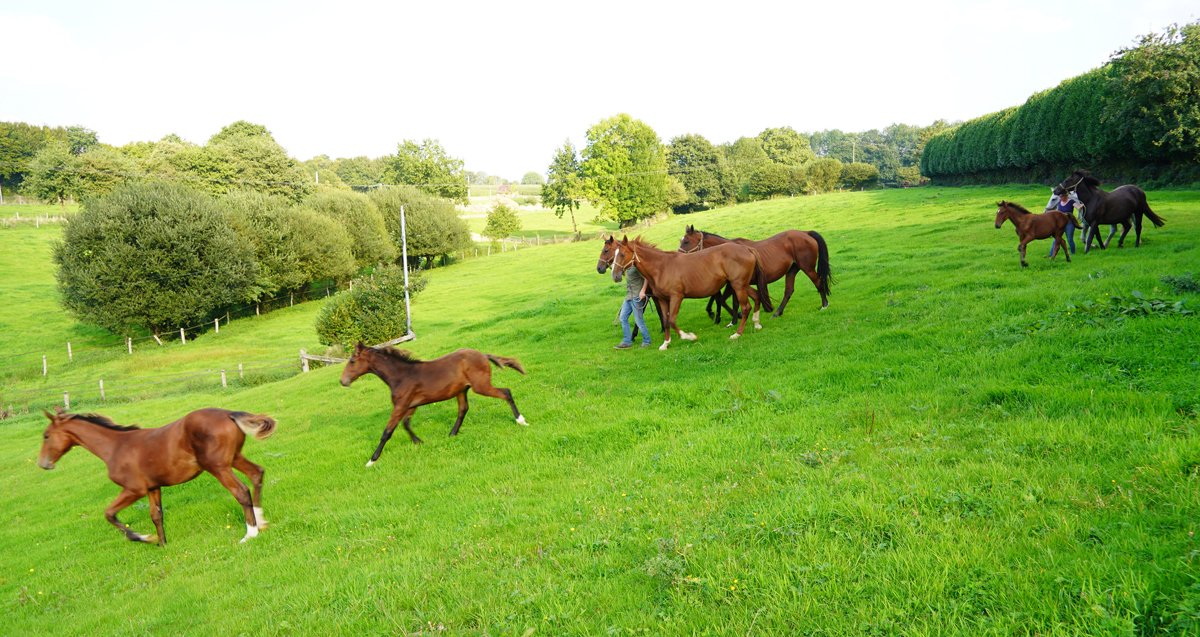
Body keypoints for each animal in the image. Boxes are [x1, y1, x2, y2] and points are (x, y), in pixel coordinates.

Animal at [37, 407, 276, 545]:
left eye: (46, 436)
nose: (43, 464)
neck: (114, 447)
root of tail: (228, 413)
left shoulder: (134, 489)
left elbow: (109, 514)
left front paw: (144, 537)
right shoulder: (153, 488)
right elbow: (156, 515)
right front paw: (163, 544)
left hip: (218, 466)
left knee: (241, 491)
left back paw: (250, 533)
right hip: (234, 458)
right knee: (257, 474)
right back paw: (261, 521)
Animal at [340, 343, 527, 466]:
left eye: (352, 361)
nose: (343, 381)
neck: (401, 376)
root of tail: (482, 354)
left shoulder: (400, 406)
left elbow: (387, 432)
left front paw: (371, 460)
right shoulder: (410, 405)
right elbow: (406, 424)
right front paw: (419, 442)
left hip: (480, 386)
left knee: (506, 392)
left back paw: (521, 420)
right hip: (462, 391)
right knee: (463, 409)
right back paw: (452, 434)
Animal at [605, 236, 773, 349]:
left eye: (622, 254)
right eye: (613, 253)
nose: (615, 275)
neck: (661, 267)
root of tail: (746, 248)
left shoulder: (676, 297)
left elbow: (672, 320)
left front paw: (689, 336)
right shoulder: (663, 299)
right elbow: (665, 321)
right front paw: (665, 344)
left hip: (738, 286)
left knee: (745, 308)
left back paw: (737, 334)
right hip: (741, 285)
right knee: (756, 297)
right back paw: (757, 324)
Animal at [678, 225, 832, 318]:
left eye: (686, 242)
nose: (677, 256)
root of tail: (805, 233)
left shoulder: (733, 283)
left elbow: (721, 299)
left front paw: (736, 315)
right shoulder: (731, 283)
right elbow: (718, 298)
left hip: (807, 268)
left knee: (818, 282)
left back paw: (824, 305)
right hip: (792, 270)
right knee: (788, 290)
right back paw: (777, 312)